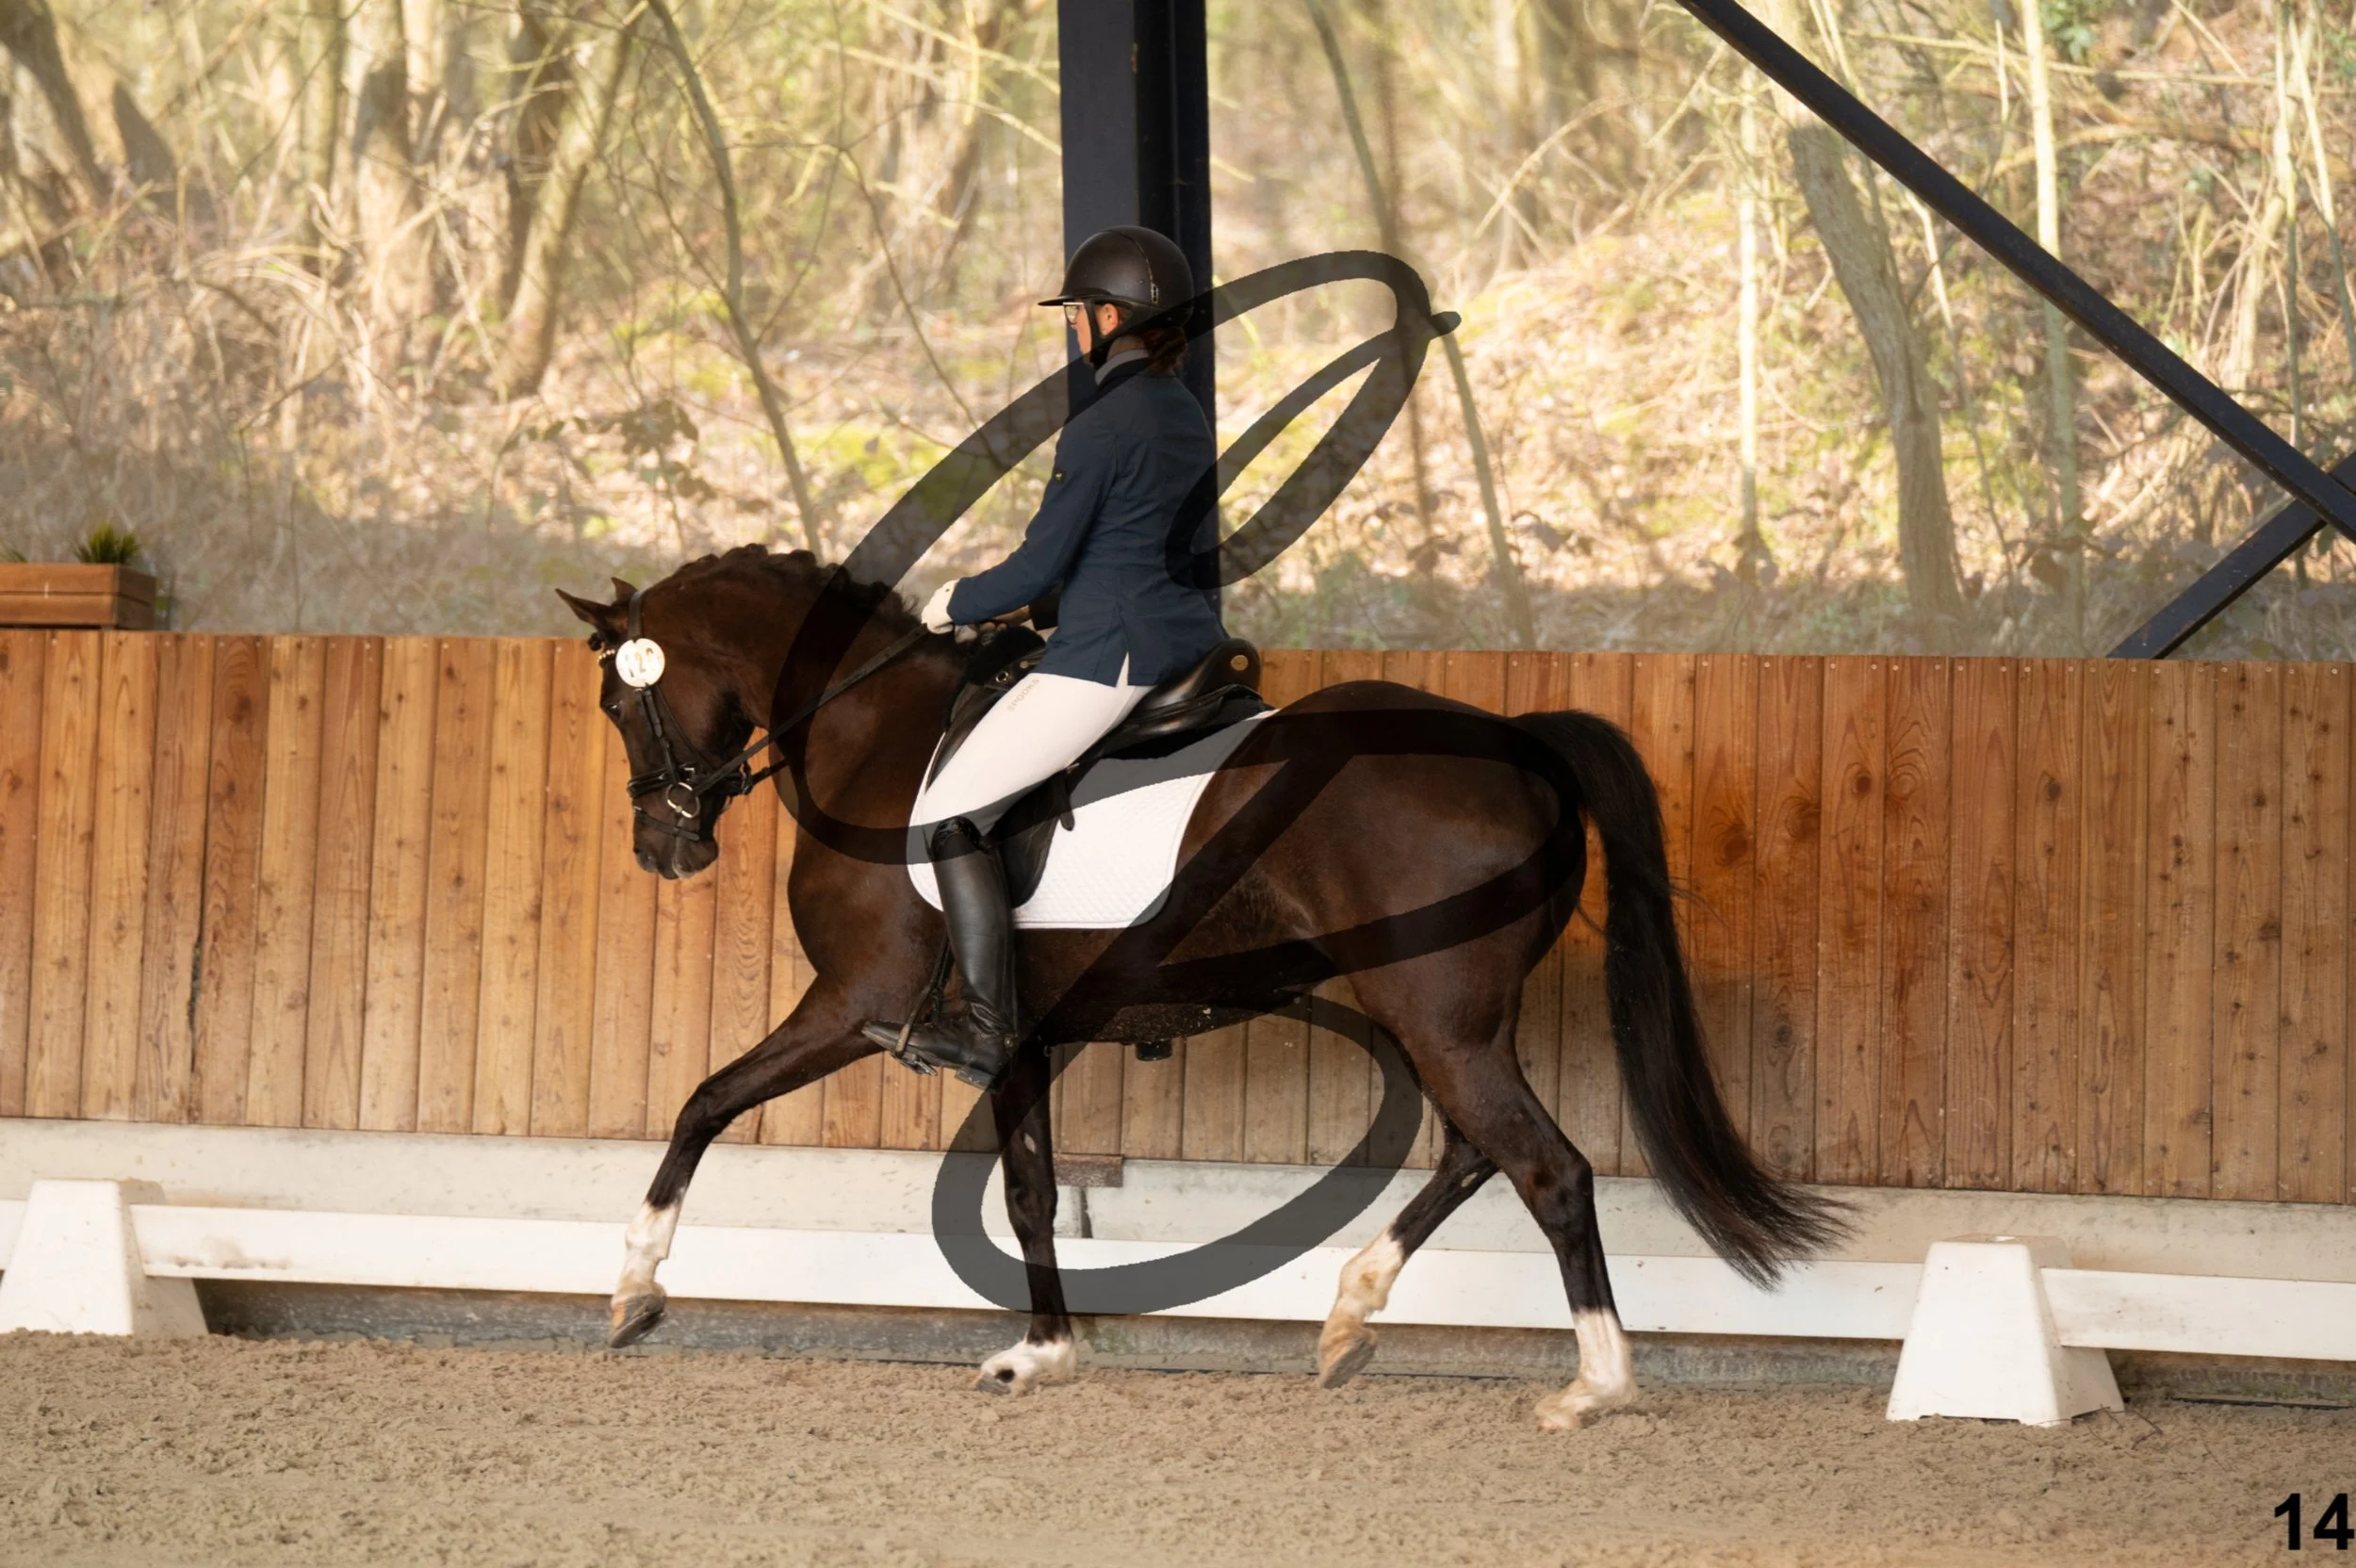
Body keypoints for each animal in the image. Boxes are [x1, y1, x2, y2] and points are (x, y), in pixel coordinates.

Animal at [556, 543, 1843, 1429]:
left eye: (621, 703)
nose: (664, 850)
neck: (876, 734)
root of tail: (1516, 741)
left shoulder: (853, 1001)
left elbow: (705, 1100)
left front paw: (633, 1283)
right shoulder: (1023, 1036)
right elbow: (1031, 1192)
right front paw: (1044, 1351)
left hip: (1435, 1014)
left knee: (1547, 1168)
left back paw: (1595, 1385)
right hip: (1444, 1014)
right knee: (1476, 1150)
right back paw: (1349, 1311)